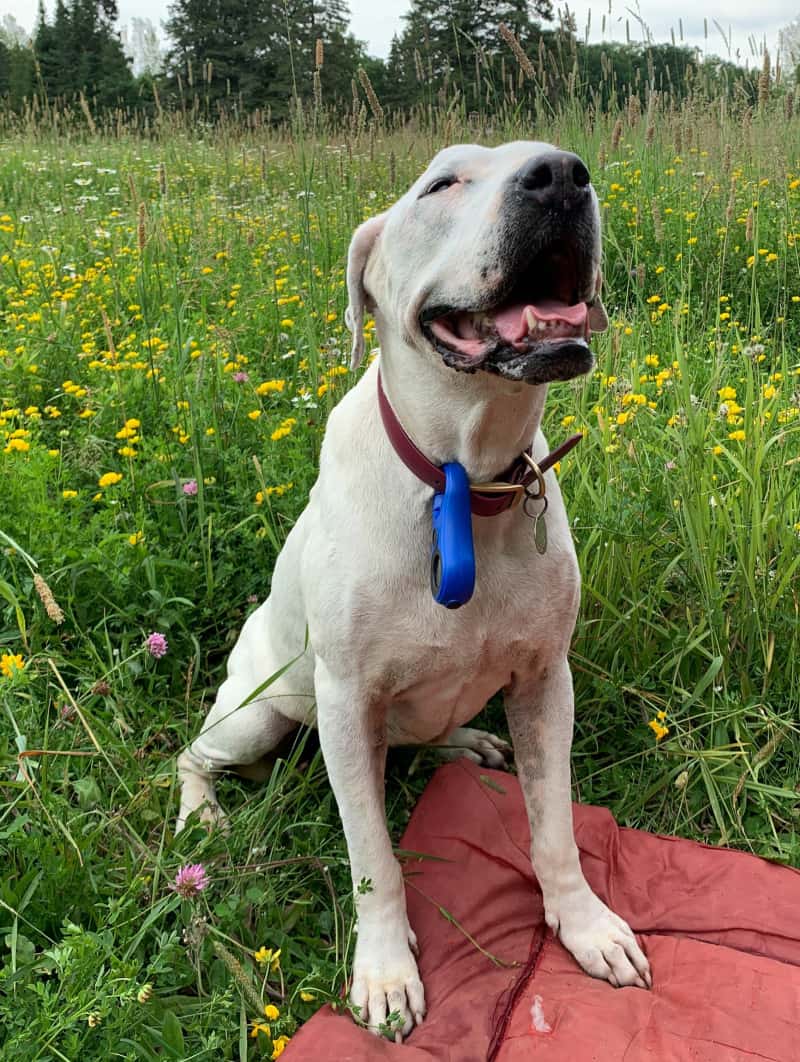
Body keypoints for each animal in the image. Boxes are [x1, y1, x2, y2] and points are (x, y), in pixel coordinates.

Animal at [174, 139, 650, 1036]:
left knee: (423, 739)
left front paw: (586, 926)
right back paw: (201, 813)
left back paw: (465, 743)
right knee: (190, 754)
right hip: (258, 712)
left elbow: (554, 828)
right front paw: (386, 972)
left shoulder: (546, 681)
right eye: (442, 184)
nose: (561, 176)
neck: (464, 477)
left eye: (558, 161)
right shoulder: (346, 701)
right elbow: (373, 857)